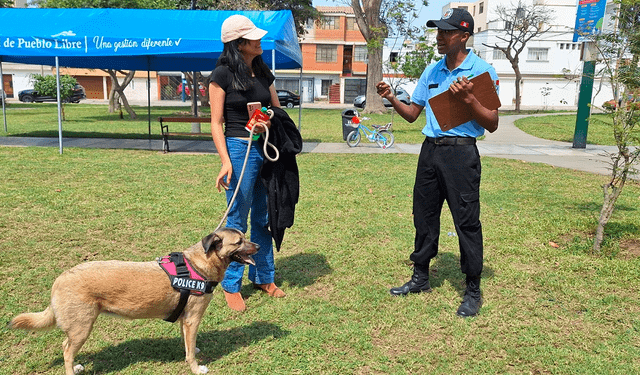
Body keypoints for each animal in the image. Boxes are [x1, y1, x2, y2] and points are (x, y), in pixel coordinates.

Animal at [8, 228, 258, 374]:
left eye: (246, 237)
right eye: (239, 242)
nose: (258, 246)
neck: (198, 265)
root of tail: (60, 278)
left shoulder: (185, 319)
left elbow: (187, 344)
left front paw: (192, 349)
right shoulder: (193, 318)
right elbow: (190, 354)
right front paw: (196, 368)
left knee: (66, 347)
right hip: (82, 328)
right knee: (67, 351)